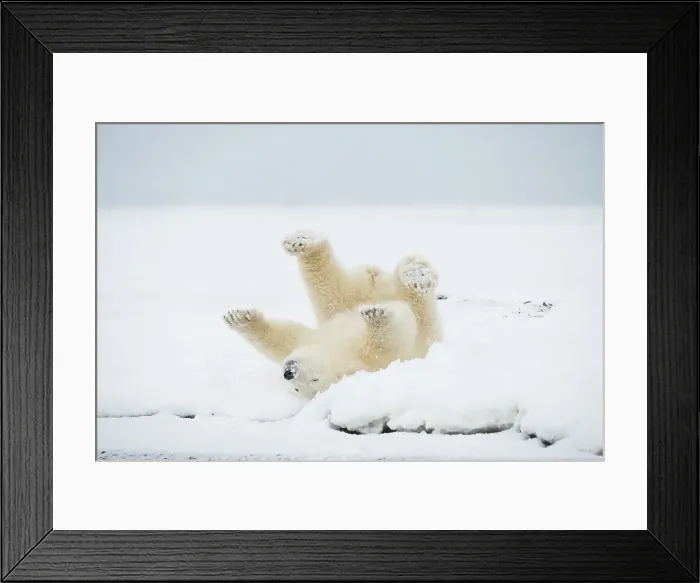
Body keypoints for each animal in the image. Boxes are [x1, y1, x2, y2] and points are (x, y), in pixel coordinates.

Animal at [223, 230, 442, 398]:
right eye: (296, 389)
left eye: (315, 380)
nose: (289, 372)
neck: (334, 353)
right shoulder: (311, 340)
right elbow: (282, 338)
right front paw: (239, 319)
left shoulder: (371, 361)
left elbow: (387, 342)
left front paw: (376, 317)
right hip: (341, 304)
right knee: (328, 285)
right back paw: (303, 243)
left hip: (424, 328)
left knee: (416, 303)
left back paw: (417, 277)